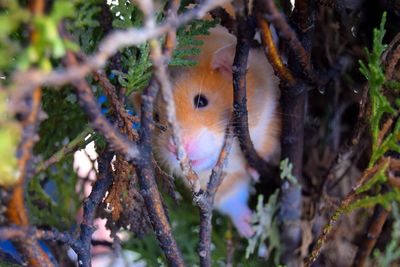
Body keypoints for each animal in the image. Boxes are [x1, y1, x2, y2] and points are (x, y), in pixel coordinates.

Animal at [133, 25, 280, 239]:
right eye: (156, 118)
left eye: (201, 101)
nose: (175, 149)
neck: (231, 157)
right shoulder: (217, 186)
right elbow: (232, 200)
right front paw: (249, 229)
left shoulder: (269, 118)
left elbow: (266, 146)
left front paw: (255, 171)